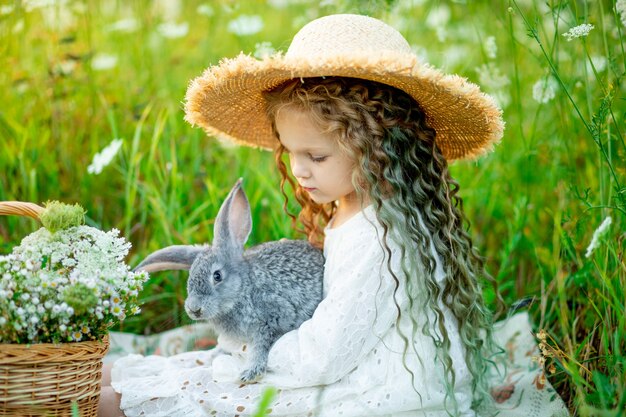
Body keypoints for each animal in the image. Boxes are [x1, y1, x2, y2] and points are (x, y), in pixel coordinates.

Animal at [135, 179, 324, 380]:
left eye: (217, 276)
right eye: (190, 277)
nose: (194, 309)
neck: (244, 289)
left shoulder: (275, 316)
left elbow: (261, 346)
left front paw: (250, 372)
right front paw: (211, 356)